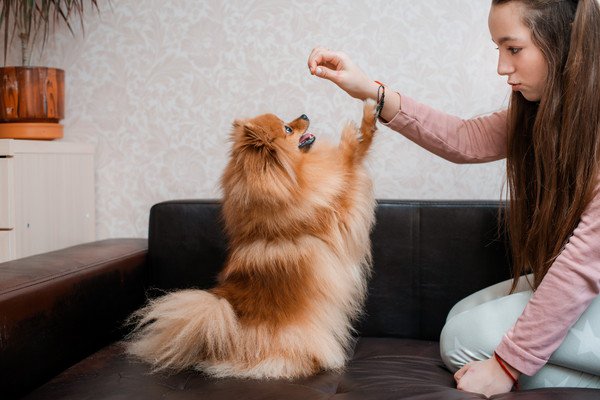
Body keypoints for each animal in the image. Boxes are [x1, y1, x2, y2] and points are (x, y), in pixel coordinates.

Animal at [127, 101, 378, 380]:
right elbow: (350, 158)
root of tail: (217, 344)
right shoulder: (338, 208)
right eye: (287, 128)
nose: (304, 114)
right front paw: (365, 120)